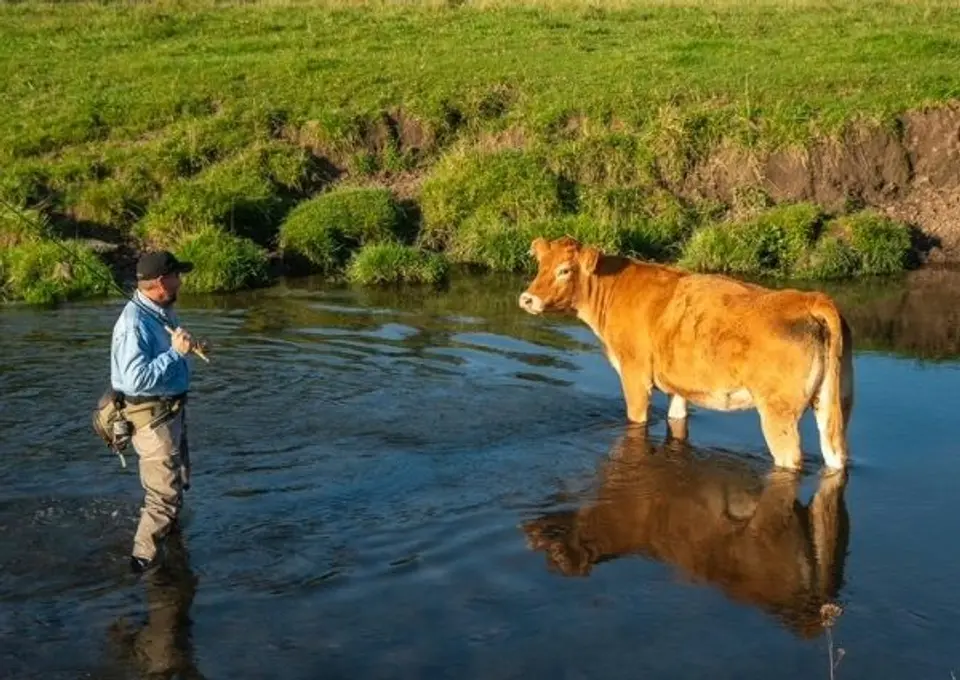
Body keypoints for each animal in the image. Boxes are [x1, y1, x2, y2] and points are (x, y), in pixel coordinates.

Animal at [518, 236, 855, 470]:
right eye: (540, 266)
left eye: (564, 270)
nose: (527, 299)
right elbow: (677, 418)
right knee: (835, 455)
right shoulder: (678, 386)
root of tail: (807, 298)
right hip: (835, 402)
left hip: (778, 412)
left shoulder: (634, 376)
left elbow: (636, 419)